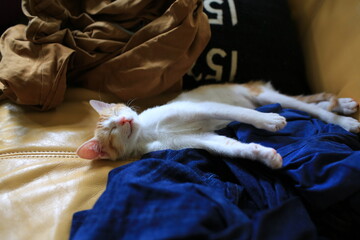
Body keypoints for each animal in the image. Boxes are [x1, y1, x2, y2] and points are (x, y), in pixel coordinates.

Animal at [76, 81, 360, 170]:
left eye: (117, 113)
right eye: (111, 131)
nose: (125, 120)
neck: (148, 131)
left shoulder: (202, 107)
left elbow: (240, 114)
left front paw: (269, 121)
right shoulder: (198, 139)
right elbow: (231, 146)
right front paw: (266, 156)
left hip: (263, 95)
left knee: (308, 107)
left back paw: (344, 117)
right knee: (305, 105)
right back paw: (343, 107)